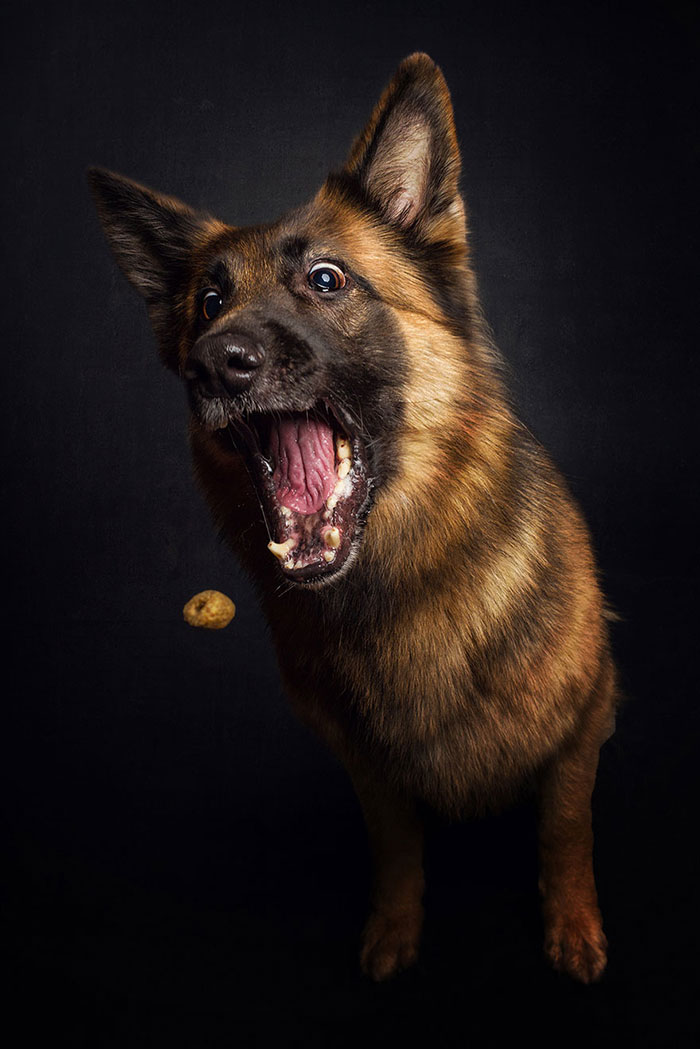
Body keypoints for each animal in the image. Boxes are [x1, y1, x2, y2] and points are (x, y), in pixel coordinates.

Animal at [89, 49, 617, 981]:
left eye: (327, 279)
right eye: (207, 303)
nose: (213, 363)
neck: (398, 585)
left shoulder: (579, 727)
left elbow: (564, 830)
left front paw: (574, 927)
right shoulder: (369, 771)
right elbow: (397, 846)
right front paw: (394, 932)